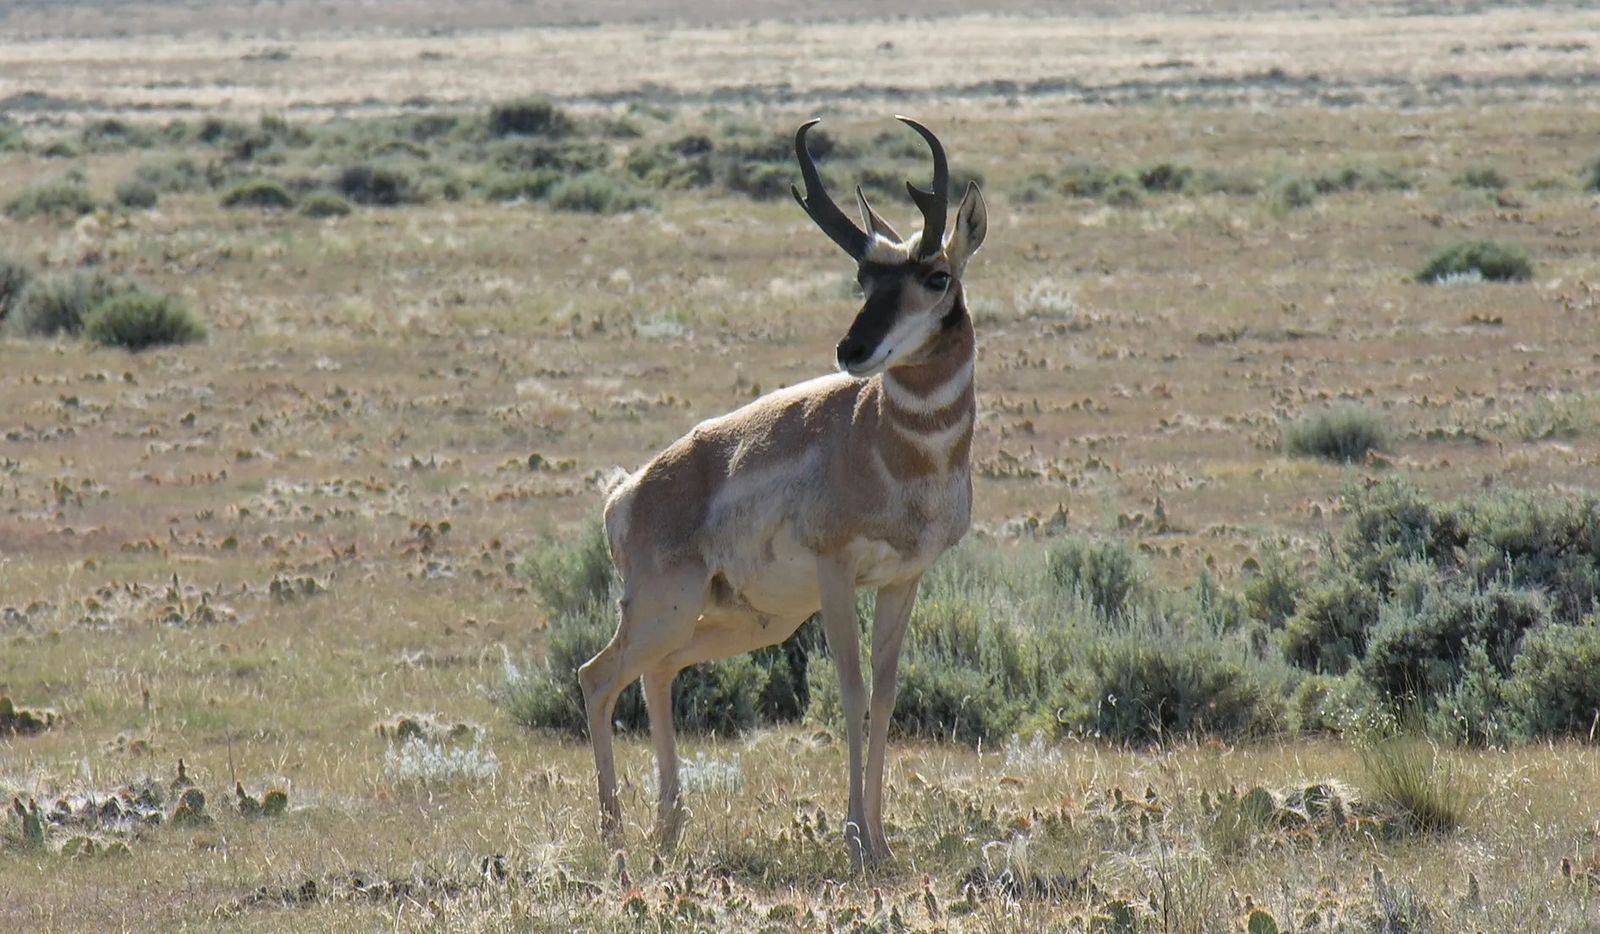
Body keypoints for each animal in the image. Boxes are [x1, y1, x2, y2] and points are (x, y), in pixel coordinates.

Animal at [579, 116, 987, 866]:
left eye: (935, 275)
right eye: (862, 277)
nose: (853, 351)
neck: (891, 446)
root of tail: (630, 489)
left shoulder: (903, 580)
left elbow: (886, 695)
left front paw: (883, 844)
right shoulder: (836, 574)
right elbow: (850, 690)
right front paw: (856, 841)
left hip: (741, 622)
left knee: (656, 672)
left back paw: (668, 826)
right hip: (667, 608)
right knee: (598, 676)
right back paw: (614, 836)